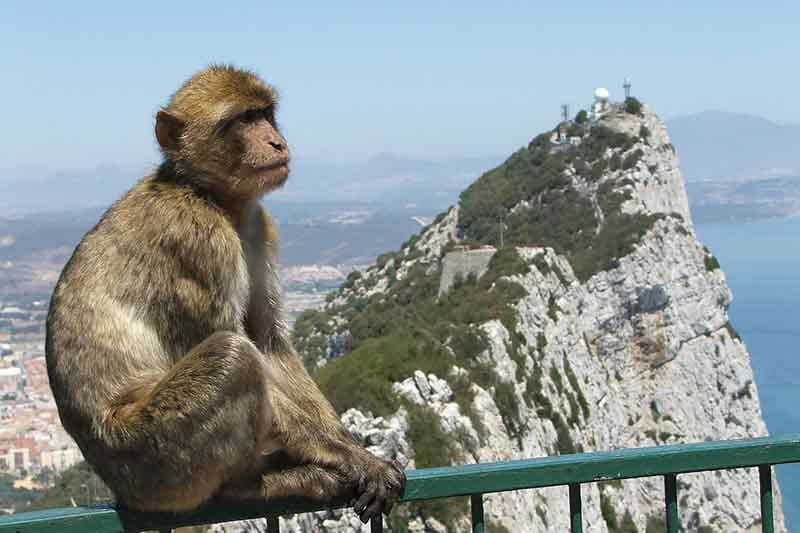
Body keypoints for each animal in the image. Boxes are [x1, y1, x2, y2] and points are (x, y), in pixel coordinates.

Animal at [44, 64, 406, 520]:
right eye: (242, 121)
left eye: (265, 114)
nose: (275, 141)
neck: (207, 194)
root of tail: (119, 487)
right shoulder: (198, 240)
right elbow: (240, 346)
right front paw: (351, 458)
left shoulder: (259, 227)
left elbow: (268, 341)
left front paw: (346, 443)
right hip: (156, 458)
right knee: (232, 358)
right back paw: (243, 486)